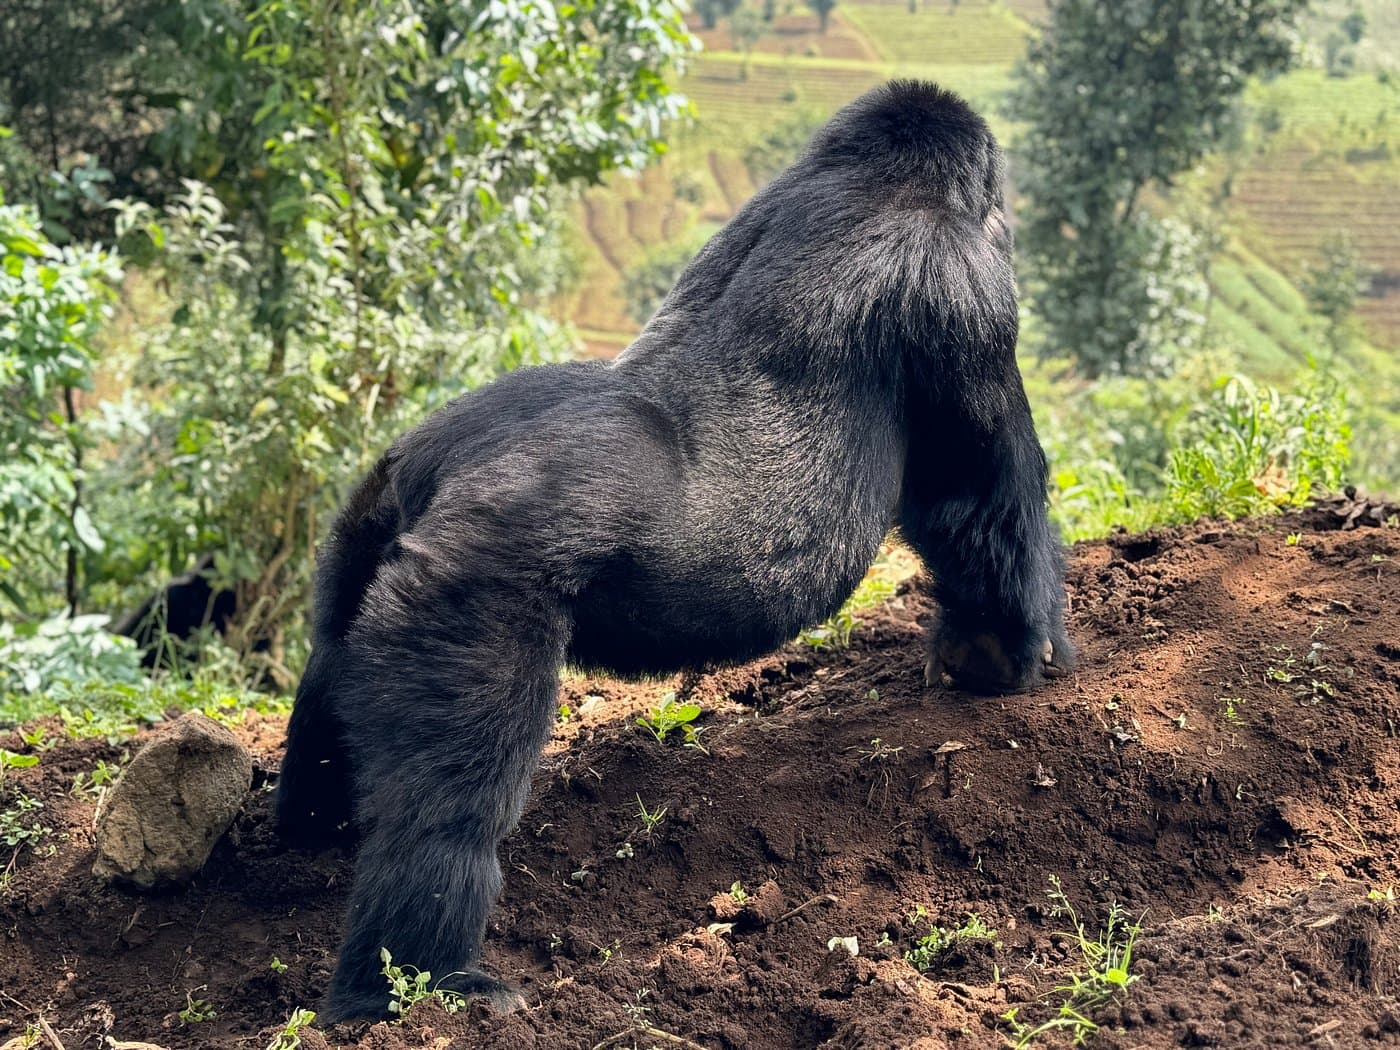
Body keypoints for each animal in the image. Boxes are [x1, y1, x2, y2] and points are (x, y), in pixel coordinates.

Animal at [275, 78, 1073, 1022]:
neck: (878, 181)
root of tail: (425, 469)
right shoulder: (962, 286)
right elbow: (982, 497)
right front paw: (1005, 654)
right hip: (465, 589)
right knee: (449, 803)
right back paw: (417, 983)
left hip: (365, 526)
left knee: (334, 664)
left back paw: (310, 827)